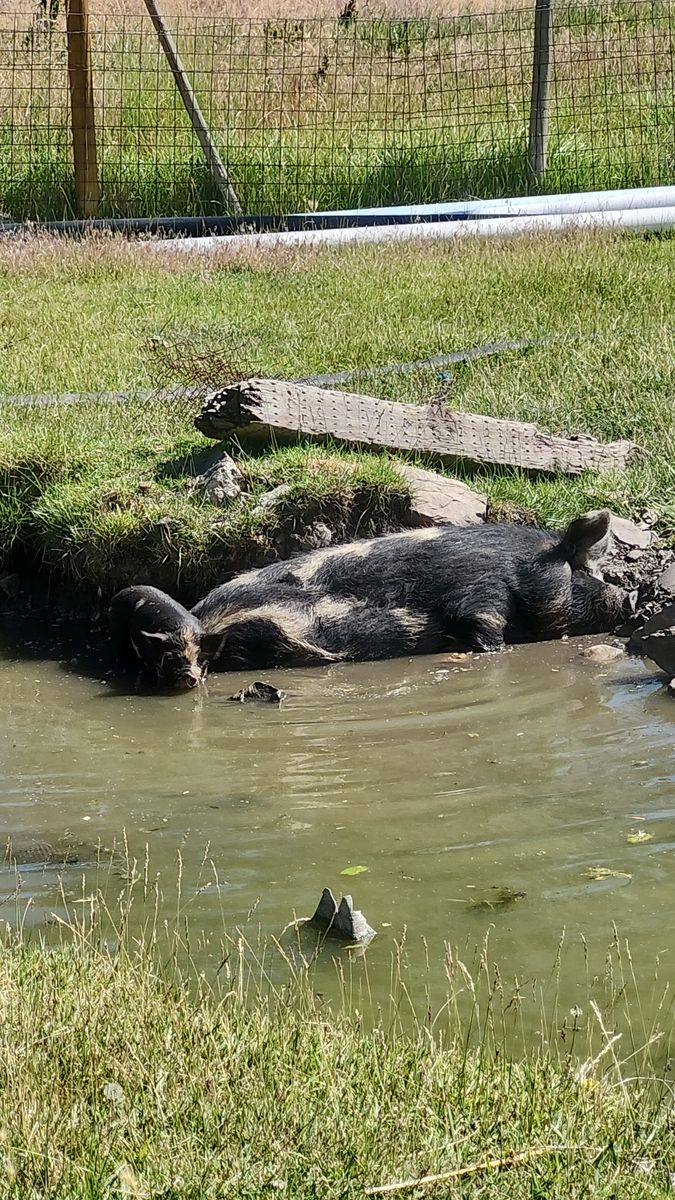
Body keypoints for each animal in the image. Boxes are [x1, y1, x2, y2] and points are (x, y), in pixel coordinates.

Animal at [193, 509, 635, 669]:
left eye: (598, 568)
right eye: (581, 571)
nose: (627, 597)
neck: (521, 566)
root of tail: (201, 617)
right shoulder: (480, 591)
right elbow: (481, 625)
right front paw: (492, 651)